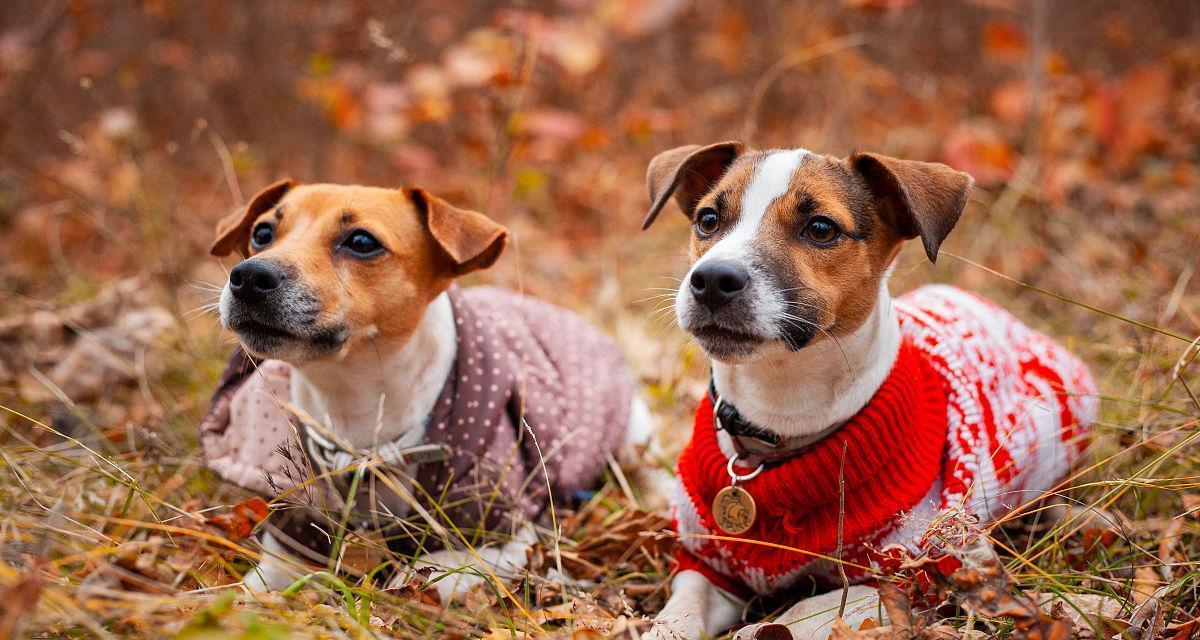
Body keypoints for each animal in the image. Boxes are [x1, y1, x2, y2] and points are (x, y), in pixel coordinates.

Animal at [204, 181, 657, 597]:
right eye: (262, 233)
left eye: (362, 242)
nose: (249, 276)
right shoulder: (296, 531)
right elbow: (258, 585)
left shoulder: (511, 538)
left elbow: (436, 570)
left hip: (634, 435)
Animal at [638, 144, 1099, 638]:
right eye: (708, 218)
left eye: (821, 228)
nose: (711, 280)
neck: (778, 425)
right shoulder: (707, 565)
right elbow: (679, 613)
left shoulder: (905, 577)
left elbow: (806, 610)